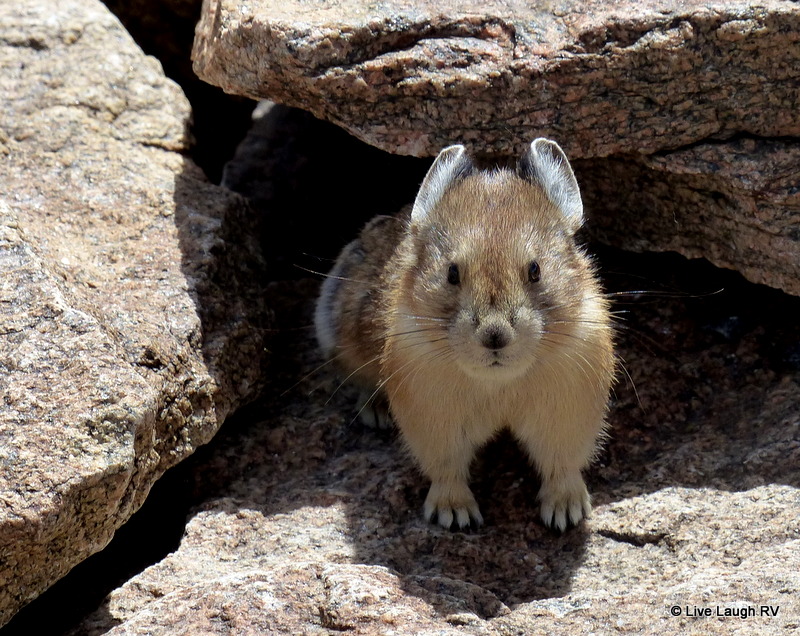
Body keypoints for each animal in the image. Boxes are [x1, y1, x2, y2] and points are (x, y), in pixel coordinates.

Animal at [314, 139, 615, 532]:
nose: (494, 335)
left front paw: (567, 515)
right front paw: (455, 516)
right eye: (452, 273)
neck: (499, 383)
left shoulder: (569, 411)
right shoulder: (433, 420)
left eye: (535, 270)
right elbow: (447, 470)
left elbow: (561, 465)